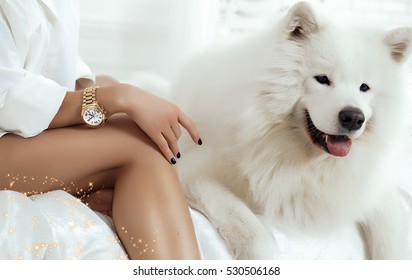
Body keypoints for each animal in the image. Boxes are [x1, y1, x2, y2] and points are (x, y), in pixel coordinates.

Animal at [171, 1, 412, 260]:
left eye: (364, 87)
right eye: (322, 79)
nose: (354, 118)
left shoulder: (378, 193)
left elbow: (391, 244)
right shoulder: (193, 171)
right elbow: (245, 223)